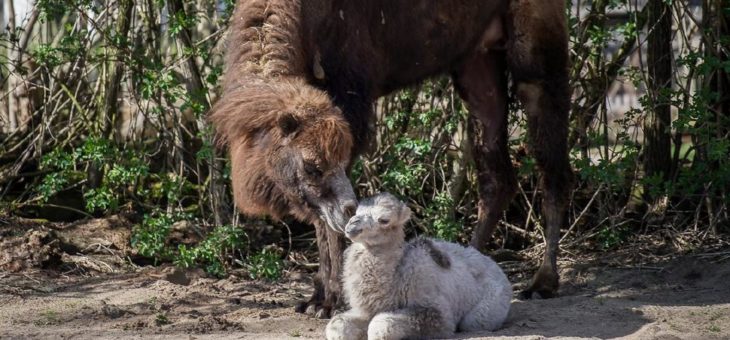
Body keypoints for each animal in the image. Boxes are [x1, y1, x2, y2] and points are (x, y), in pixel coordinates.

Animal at [210, 0, 576, 318]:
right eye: (311, 167)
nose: (350, 210)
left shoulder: (351, 100)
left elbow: (327, 223)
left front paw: (328, 301)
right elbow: (320, 217)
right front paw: (315, 297)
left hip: (534, 53)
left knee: (553, 163)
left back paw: (543, 282)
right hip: (476, 61)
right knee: (497, 174)